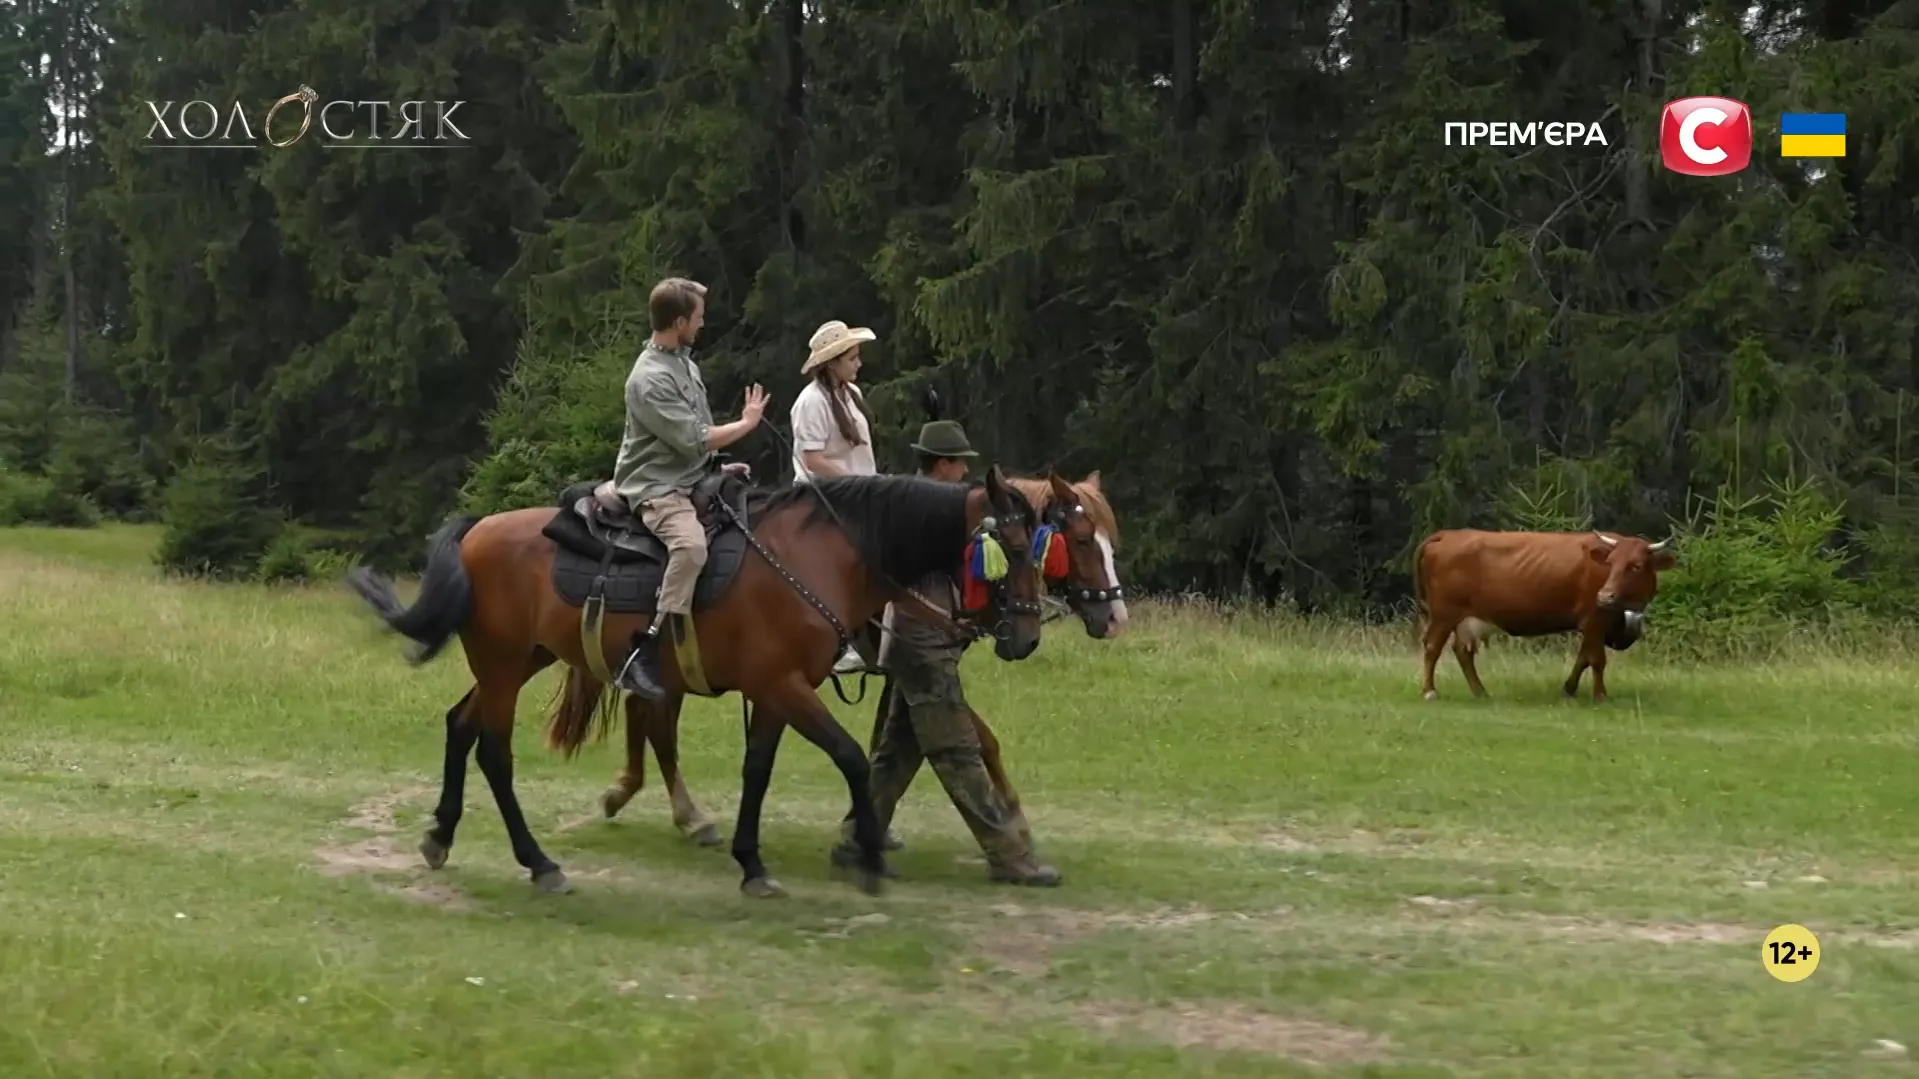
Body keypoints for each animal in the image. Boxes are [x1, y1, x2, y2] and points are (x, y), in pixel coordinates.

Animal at [337, 466, 1043, 894]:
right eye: (1010, 545)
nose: (1027, 634)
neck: (816, 558)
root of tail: (478, 529)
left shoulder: (774, 692)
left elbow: (758, 769)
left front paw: (751, 862)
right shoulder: (785, 685)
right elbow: (849, 757)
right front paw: (867, 857)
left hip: (518, 660)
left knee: (460, 725)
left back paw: (440, 836)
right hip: (505, 665)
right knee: (493, 751)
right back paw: (539, 863)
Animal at [583, 466, 1120, 852]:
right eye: (1079, 539)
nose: (1113, 615)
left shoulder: (898, 676)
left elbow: (900, 740)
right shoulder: (909, 667)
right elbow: (979, 737)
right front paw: (1011, 816)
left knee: (643, 709)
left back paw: (633, 793)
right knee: (654, 721)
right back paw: (678, 812)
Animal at [1420, 526, 1673, 698]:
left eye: (1636, 565)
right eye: (1610, 562)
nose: (1604, 596)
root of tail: (1449, 534)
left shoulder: (1592, 624)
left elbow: (1583, 658)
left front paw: (1569, 689)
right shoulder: (1593, 620)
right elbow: (1597, 660)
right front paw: (1600, 695)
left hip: (1467, 620)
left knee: (1462, 651)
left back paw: (1480, 692)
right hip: (1443, 614)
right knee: (1432, 646)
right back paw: (1430, 691)